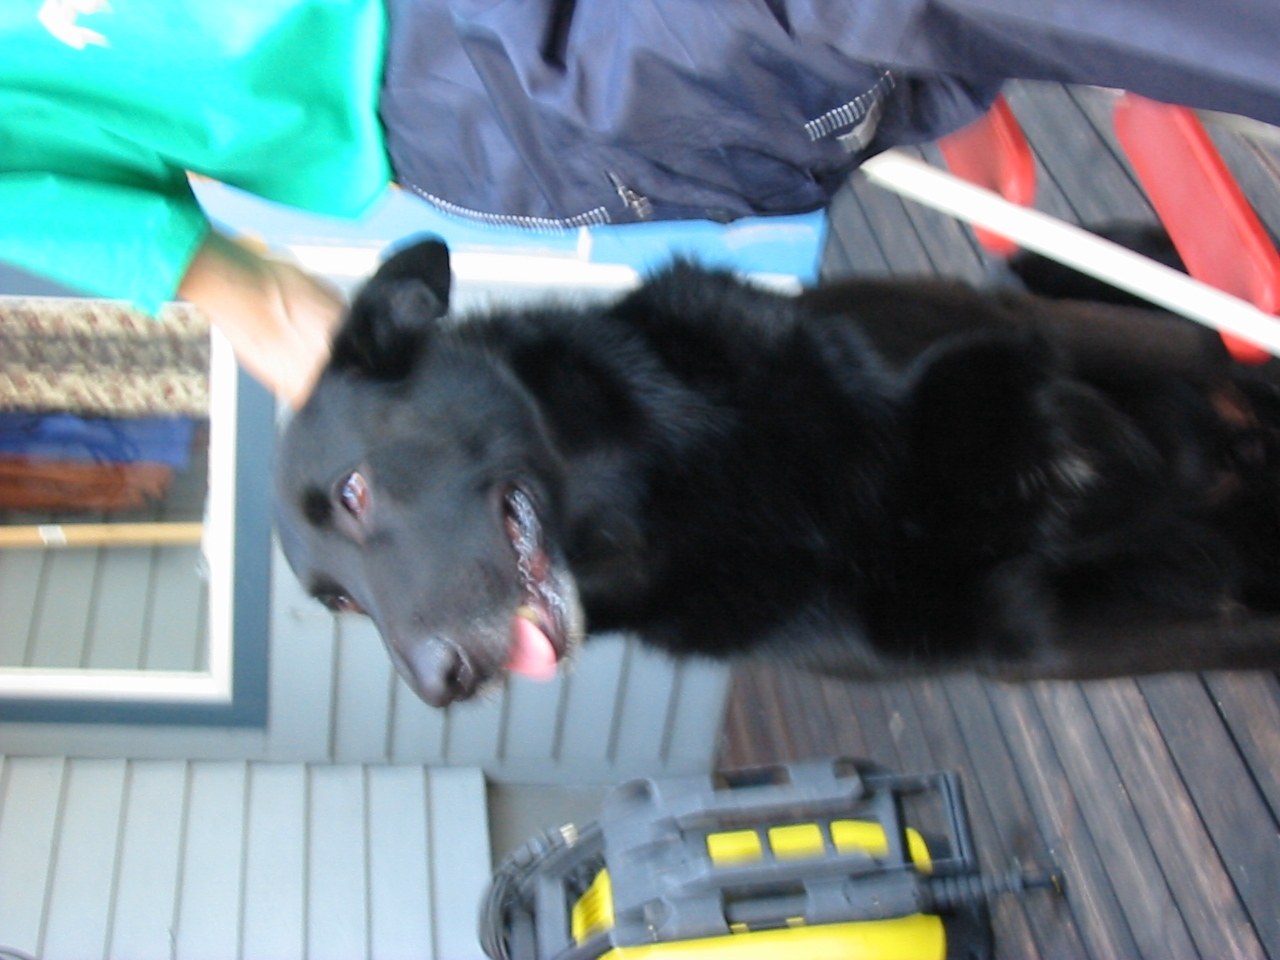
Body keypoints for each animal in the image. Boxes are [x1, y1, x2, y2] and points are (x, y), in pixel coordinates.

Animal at [276, 236, 1280, 707]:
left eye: (354, 492)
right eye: (340, 605)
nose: (438, 681)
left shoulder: (1051, 340)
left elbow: (1203, 349)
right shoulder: (1034, 639)